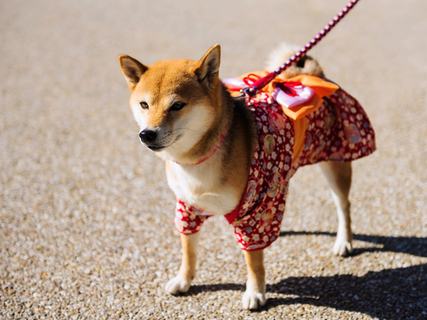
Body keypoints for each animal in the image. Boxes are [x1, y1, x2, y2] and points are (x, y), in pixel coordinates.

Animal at [117, 43, 374, 308]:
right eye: (144, 105)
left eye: (177, 105)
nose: (147, 134)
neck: (198, 160)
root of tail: (313, 74)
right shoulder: (188, 207)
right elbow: (188, 250)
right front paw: (183, 280)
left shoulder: (252, 211)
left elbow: (253, 260)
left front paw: (255, 292)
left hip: (335, 162)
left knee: (343, 205)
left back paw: (344, 241)